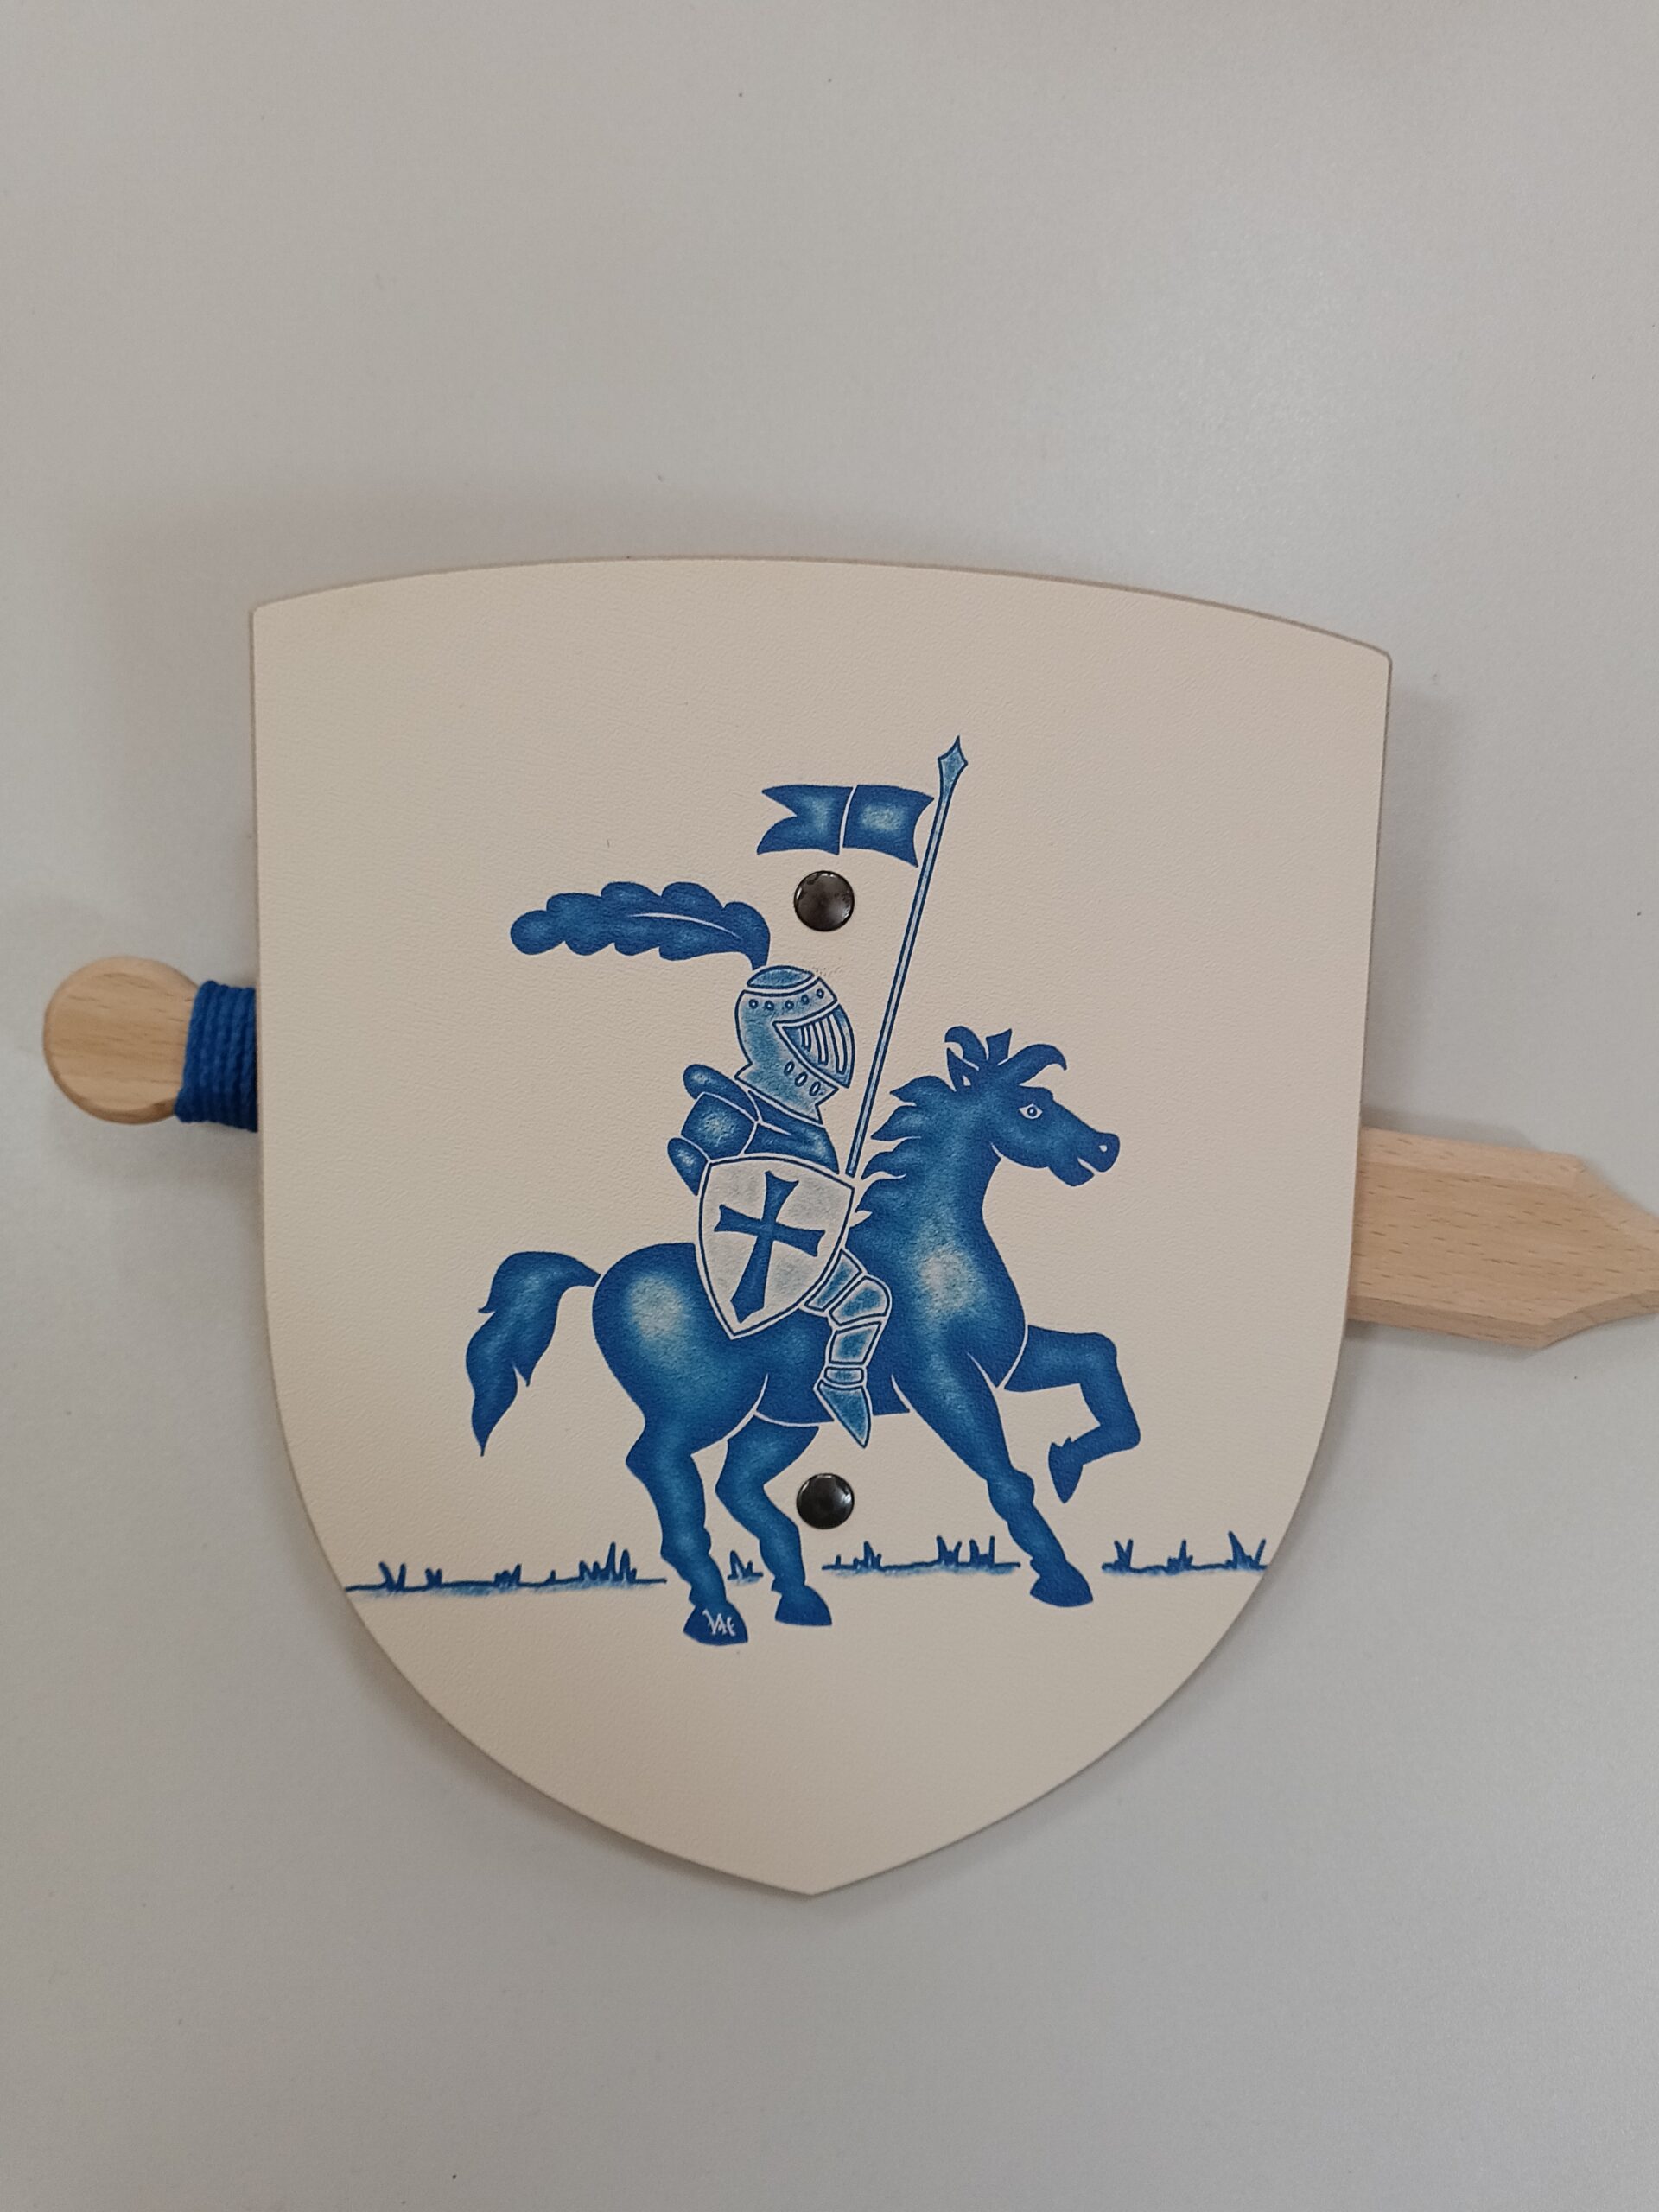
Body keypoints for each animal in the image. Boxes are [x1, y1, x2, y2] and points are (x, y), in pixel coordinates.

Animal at [467, 1026, 1139, 1643]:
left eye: (1046, 1097)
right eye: (1031, 1109)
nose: (1106, 1146)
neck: (932, 1249)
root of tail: (600, 1276)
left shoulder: (1009, 1361)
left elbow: (1099, 1360)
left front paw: (1067, 1462)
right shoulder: (940, 1380)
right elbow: (1006, 1478)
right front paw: (1062, 1579)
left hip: (780, 1420)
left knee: (735, 1485)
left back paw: (796, 1597)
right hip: (701, 1410)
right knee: (659, 1466)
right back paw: (717, 1613)